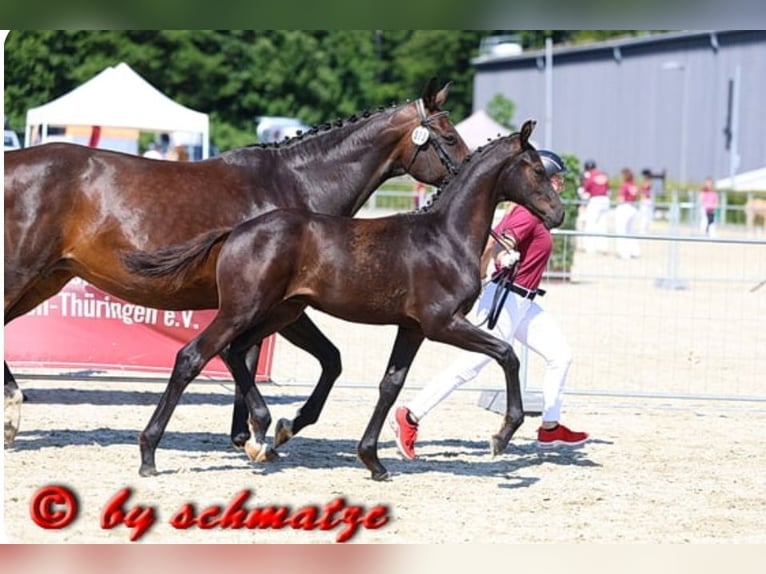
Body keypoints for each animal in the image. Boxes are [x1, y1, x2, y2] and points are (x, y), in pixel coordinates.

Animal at [3, 77, 469, 447]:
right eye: (449, 137)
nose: (469, 171)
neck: (296, 183)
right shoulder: (278, 304)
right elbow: (263, 357)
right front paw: (267, 428)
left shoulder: (275, 304)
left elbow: (277, 358)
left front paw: (251, 432)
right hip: (20, 275)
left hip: (45, 280)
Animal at [123, 119, 564, 480]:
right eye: (536, 169)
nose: (558, 214)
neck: (444, 236)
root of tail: (236, 231)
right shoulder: (443, 323)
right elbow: (507, 353)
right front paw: (503, 433)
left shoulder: (413, 328)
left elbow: (390, 385)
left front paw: (373, 460)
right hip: (242, 310)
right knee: (193, 356)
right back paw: (149, 453)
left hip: (280, 311)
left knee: (235, 352)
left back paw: (263, 428)